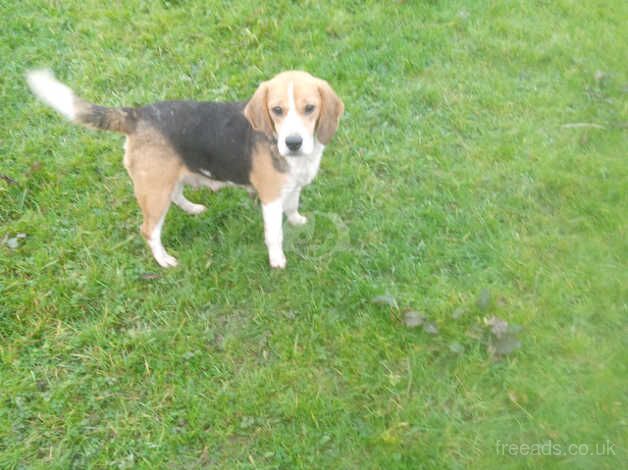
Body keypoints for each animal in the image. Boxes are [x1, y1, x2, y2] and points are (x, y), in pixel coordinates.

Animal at [27, 70, 344, 268]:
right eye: (277, 110)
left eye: (310, 108)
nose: (293, 143)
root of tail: (137, 114)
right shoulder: (270, 198)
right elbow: (274, 234)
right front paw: (277, 260)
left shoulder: (292, 187)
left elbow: (293, 206)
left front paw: (298, 221)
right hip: (154, 191)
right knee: (149, 230)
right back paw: (164, 260)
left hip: (169, 179)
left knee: (176, 196)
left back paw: (192, 208)